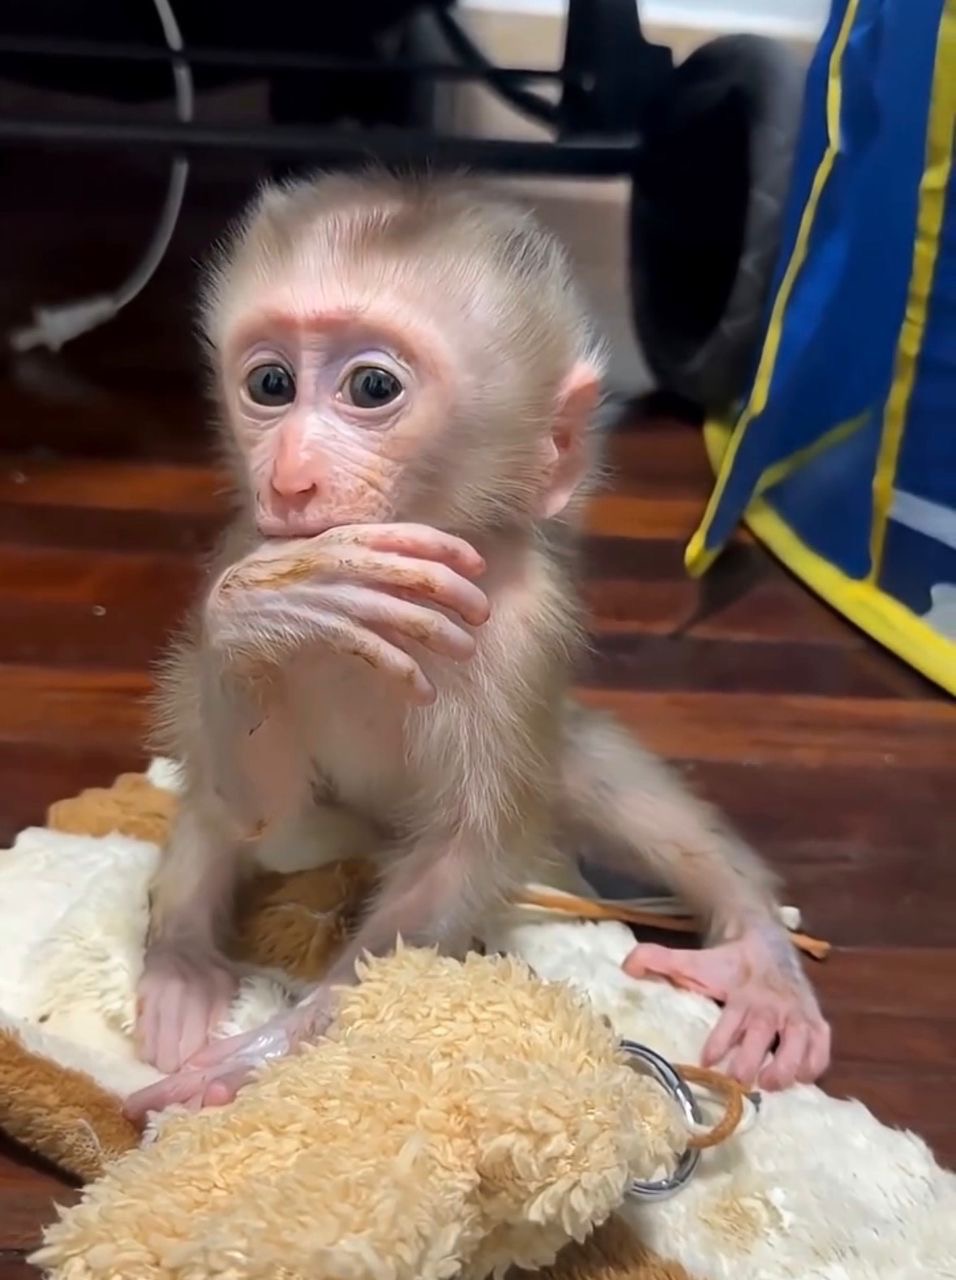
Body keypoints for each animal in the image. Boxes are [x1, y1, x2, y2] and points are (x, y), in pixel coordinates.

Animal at [124, 172, 830, 1121]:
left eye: (372, 388)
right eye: (270, 383)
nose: (291, 477)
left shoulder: (524, 629)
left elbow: (459, 851)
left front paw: (281, 1044)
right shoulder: (247, 547)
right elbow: (259, 813)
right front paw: (275, 610)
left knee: (606, 783)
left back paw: (760, 954)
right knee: (214, 798)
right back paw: (181, 959)